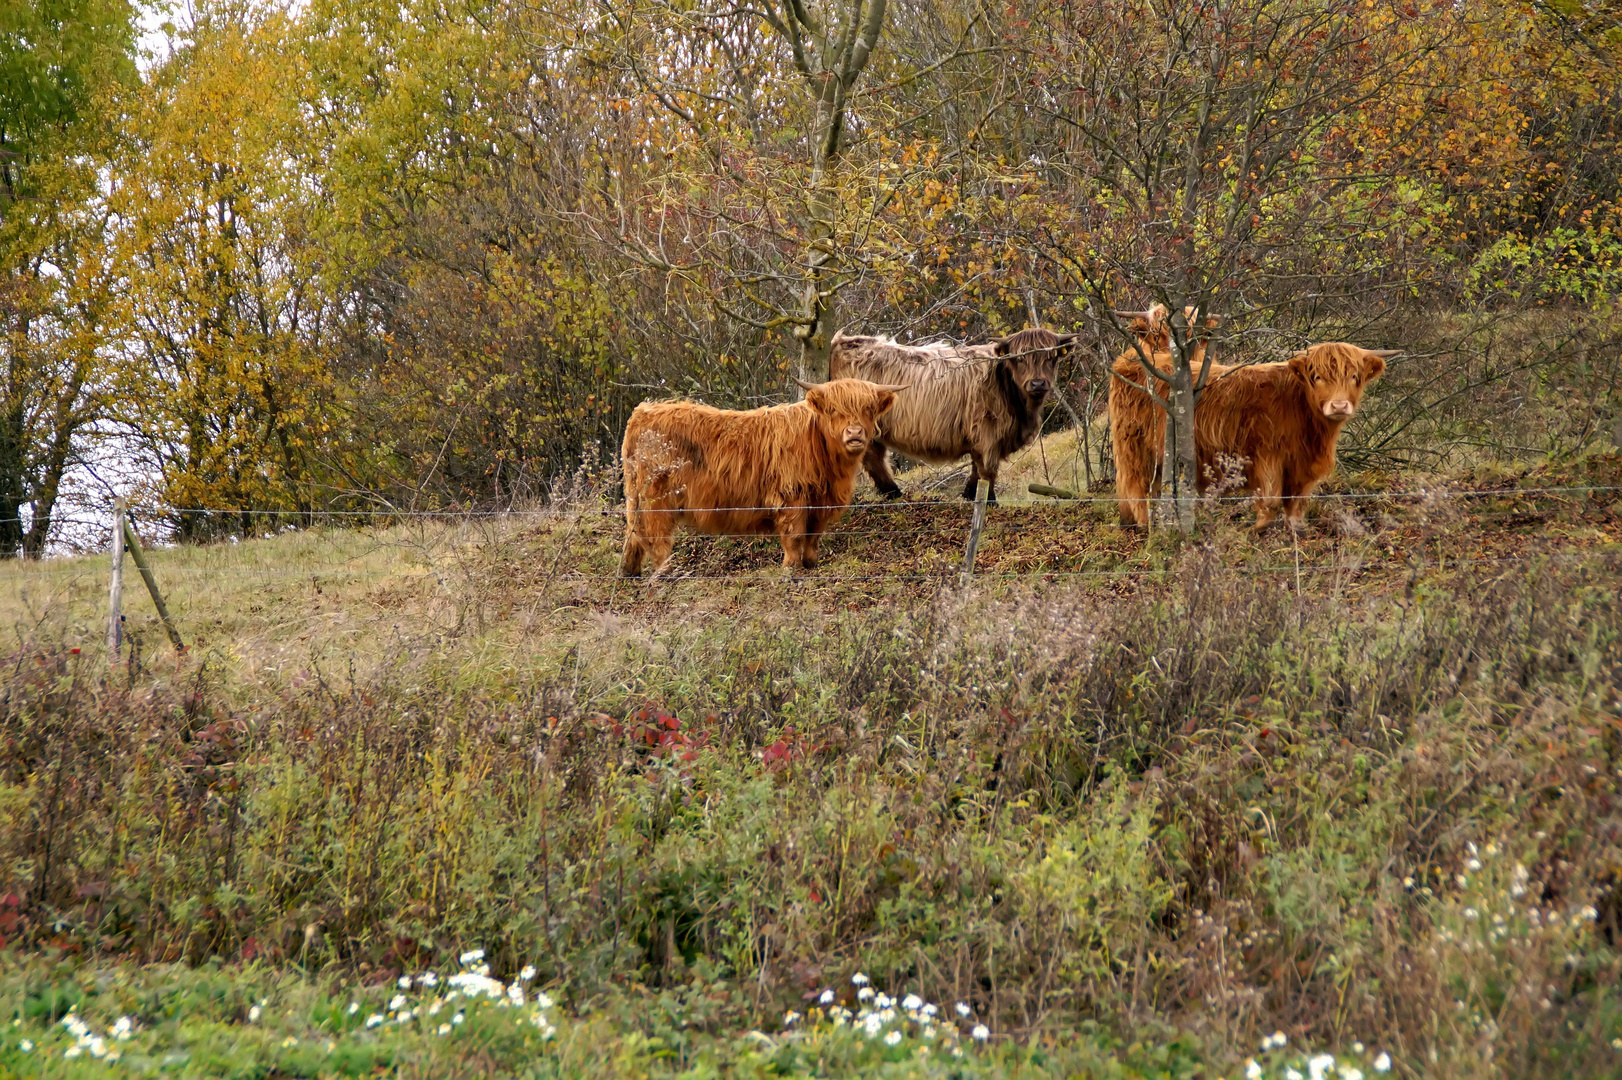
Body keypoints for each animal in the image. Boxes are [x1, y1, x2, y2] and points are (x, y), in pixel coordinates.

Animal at [616, 377, 901, 580]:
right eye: (832, 410)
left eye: (868, 408)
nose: (854, 433)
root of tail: (643, 411)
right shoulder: (791, 496)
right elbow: (794, 535)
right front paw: (791, 568)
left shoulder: (821, 501)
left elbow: (813, 534)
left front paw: (811, 564)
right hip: (656, 497)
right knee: (656, 535)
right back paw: (666, 574)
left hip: (638, 498)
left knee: (634, 534)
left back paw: (630, 573)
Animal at [830, 325, 1083, 502]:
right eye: (1019, 358)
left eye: (1051, 357)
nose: (1038, 383)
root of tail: (843, 341)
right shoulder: (987, 432)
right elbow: (987, 471)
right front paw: (988, 501)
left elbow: (978, 471)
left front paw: (969, 495)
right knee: (871, 459)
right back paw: (893, 494)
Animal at [1115, 332, 1394, 525]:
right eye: (1317, 377)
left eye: (1355, 377)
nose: (1339, 405)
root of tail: (1126, 361)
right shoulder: (1267, 454)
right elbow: (1270, 499)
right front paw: (1258, 530)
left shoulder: (1301, 465)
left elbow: (1296, 501)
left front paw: (1295, 529)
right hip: (1135, 447)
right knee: (1136, 487)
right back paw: (1147, 525)